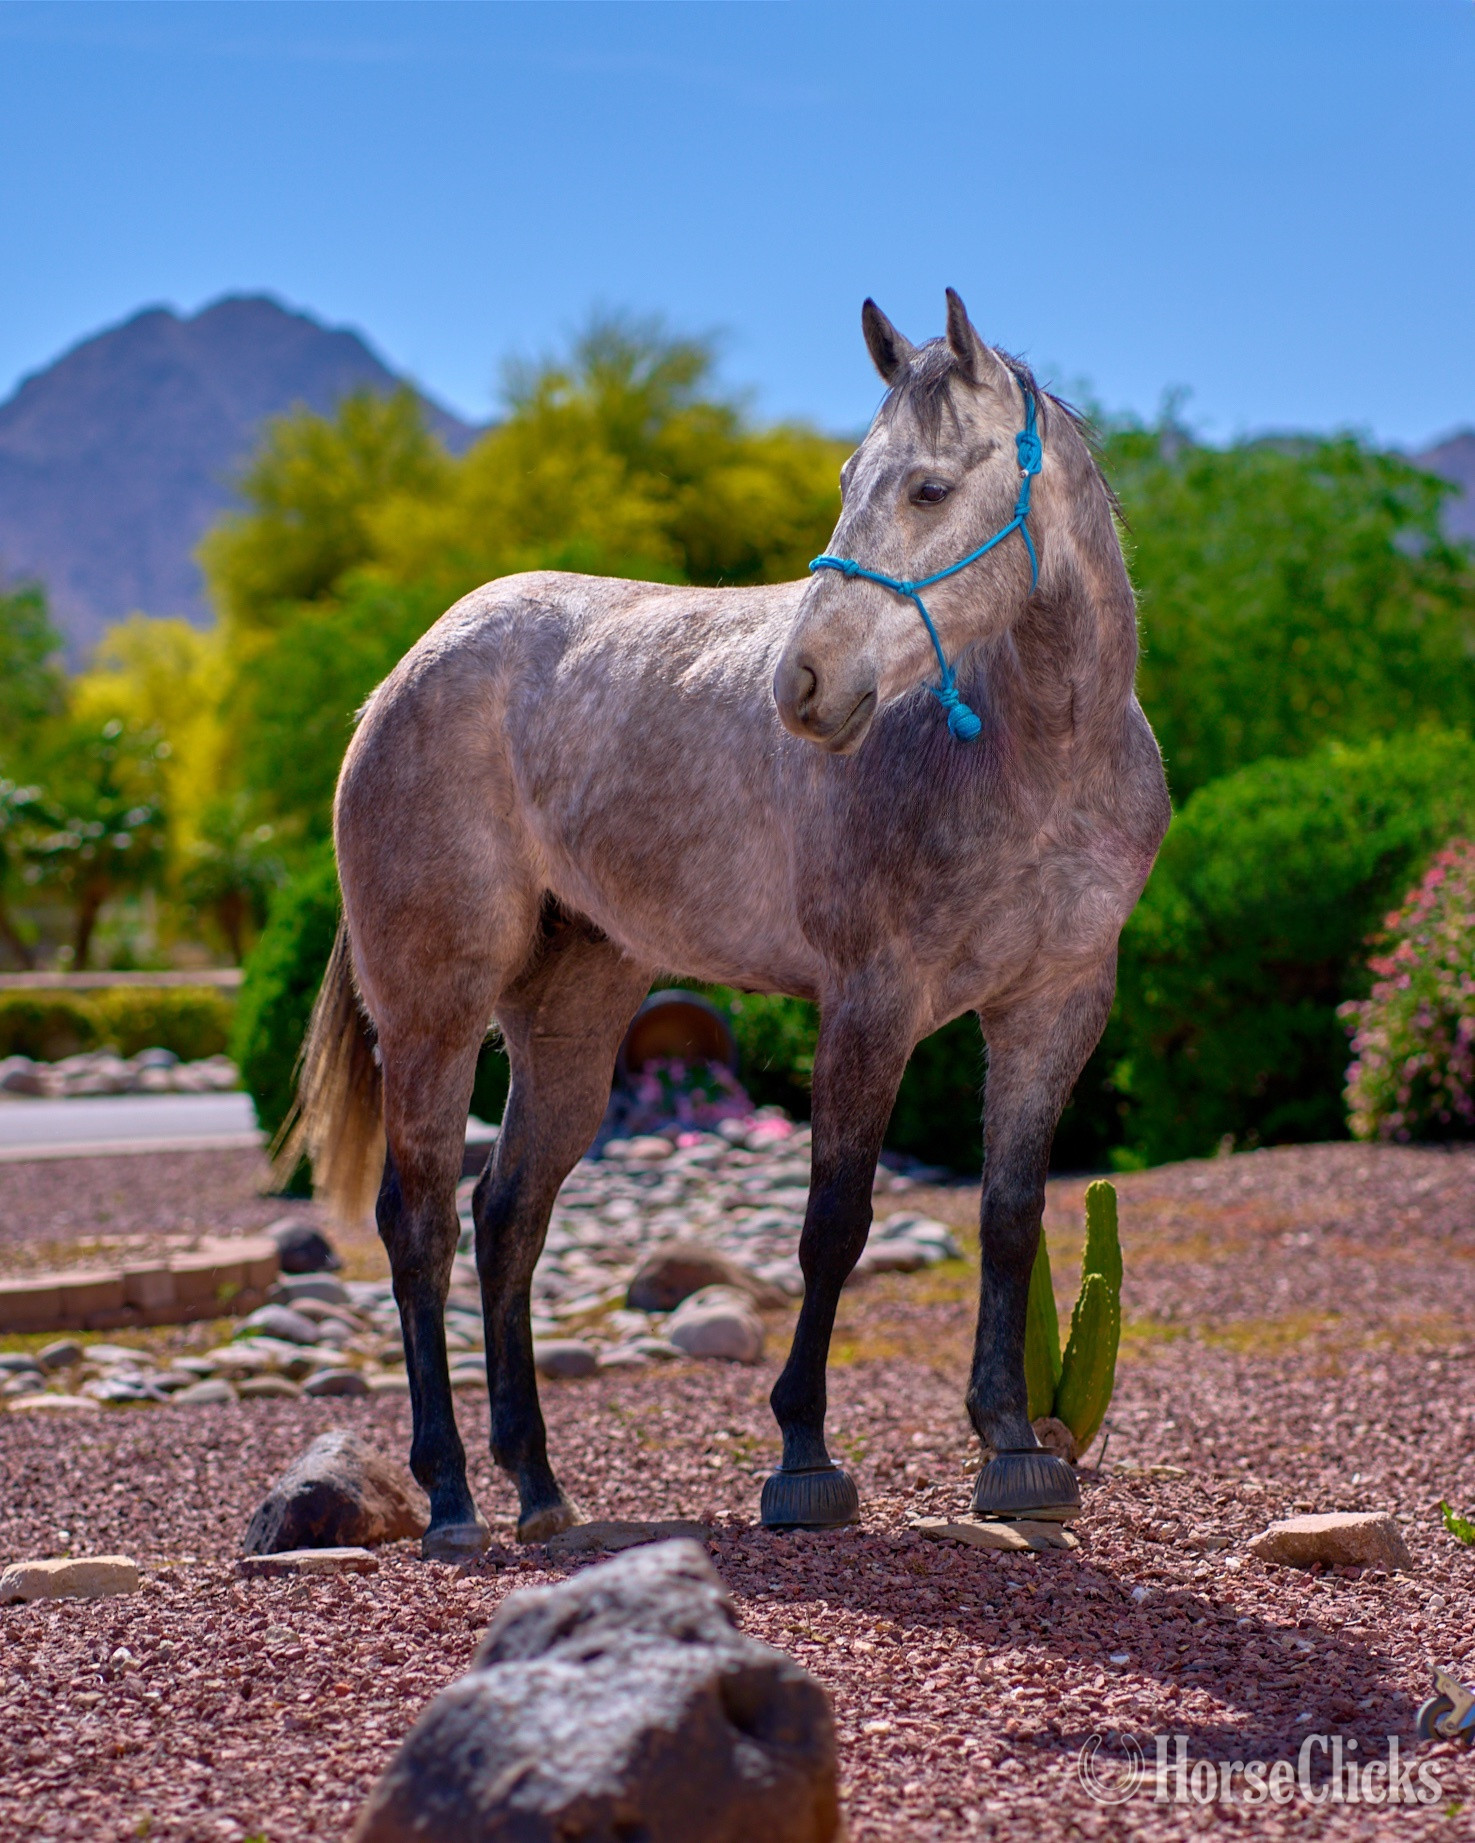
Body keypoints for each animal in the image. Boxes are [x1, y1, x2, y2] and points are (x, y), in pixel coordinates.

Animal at [289, 290, 1171, 1558]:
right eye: (849, 476)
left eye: (928, 489)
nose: (801, 686)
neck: (1035, 758)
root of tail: (404, 675)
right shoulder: (868, 1004)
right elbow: (833, 1225)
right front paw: (802, 1461)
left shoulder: (1053, 1008)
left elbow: (1009, 1218)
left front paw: (1012, 1450)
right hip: (433, 1013)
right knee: (419, 1226)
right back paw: (451, 1497)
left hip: (571, 1018)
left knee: (507, 1218)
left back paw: (538, 1487)